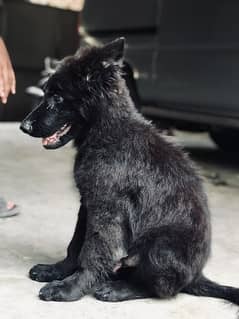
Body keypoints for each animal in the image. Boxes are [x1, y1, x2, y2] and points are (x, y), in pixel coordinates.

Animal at [20, 38, 239, 304]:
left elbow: (91, 251)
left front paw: (69, 288)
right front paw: (56, 271)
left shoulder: (106, 210)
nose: (23, 126)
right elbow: (76, 243)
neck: (108, 133)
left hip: (160, 246)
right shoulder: (88, 204)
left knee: (161, 289)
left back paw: (118, 289)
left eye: (58, 97)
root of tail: (196, 276)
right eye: (46, 93)